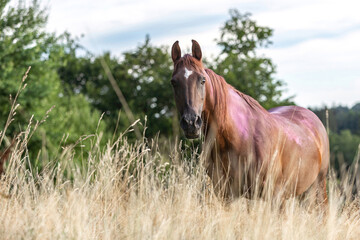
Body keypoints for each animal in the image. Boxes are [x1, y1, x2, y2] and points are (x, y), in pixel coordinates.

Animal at [170, 39, 330, 204]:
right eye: (174, 82)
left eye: (202, 80)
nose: (191, 123)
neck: (237, 138)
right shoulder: (226, 195)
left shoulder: (273, 195)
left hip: (317, 188)